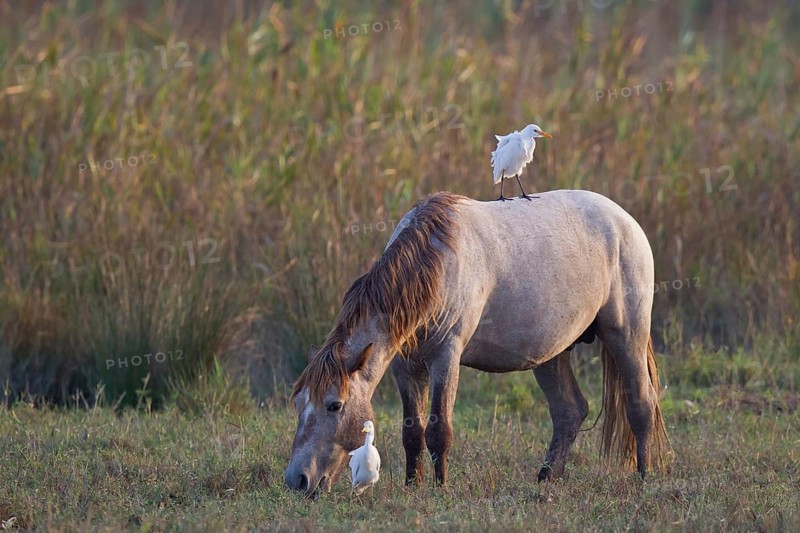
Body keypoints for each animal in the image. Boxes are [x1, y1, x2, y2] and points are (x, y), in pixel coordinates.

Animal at [284, 190, 670, 497]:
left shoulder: (446, 357)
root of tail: (625, 221)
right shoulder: (405, 366)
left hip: (626, 334)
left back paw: (643, 477)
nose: (297, 480)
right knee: (569, 411)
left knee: (641, 404)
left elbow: (439, 429)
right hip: (552, 355)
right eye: (299, 403)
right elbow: (413, 431)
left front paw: (439, 488)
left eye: (334, 405)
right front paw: (413, 485)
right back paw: (546, 479)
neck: (435, 263)